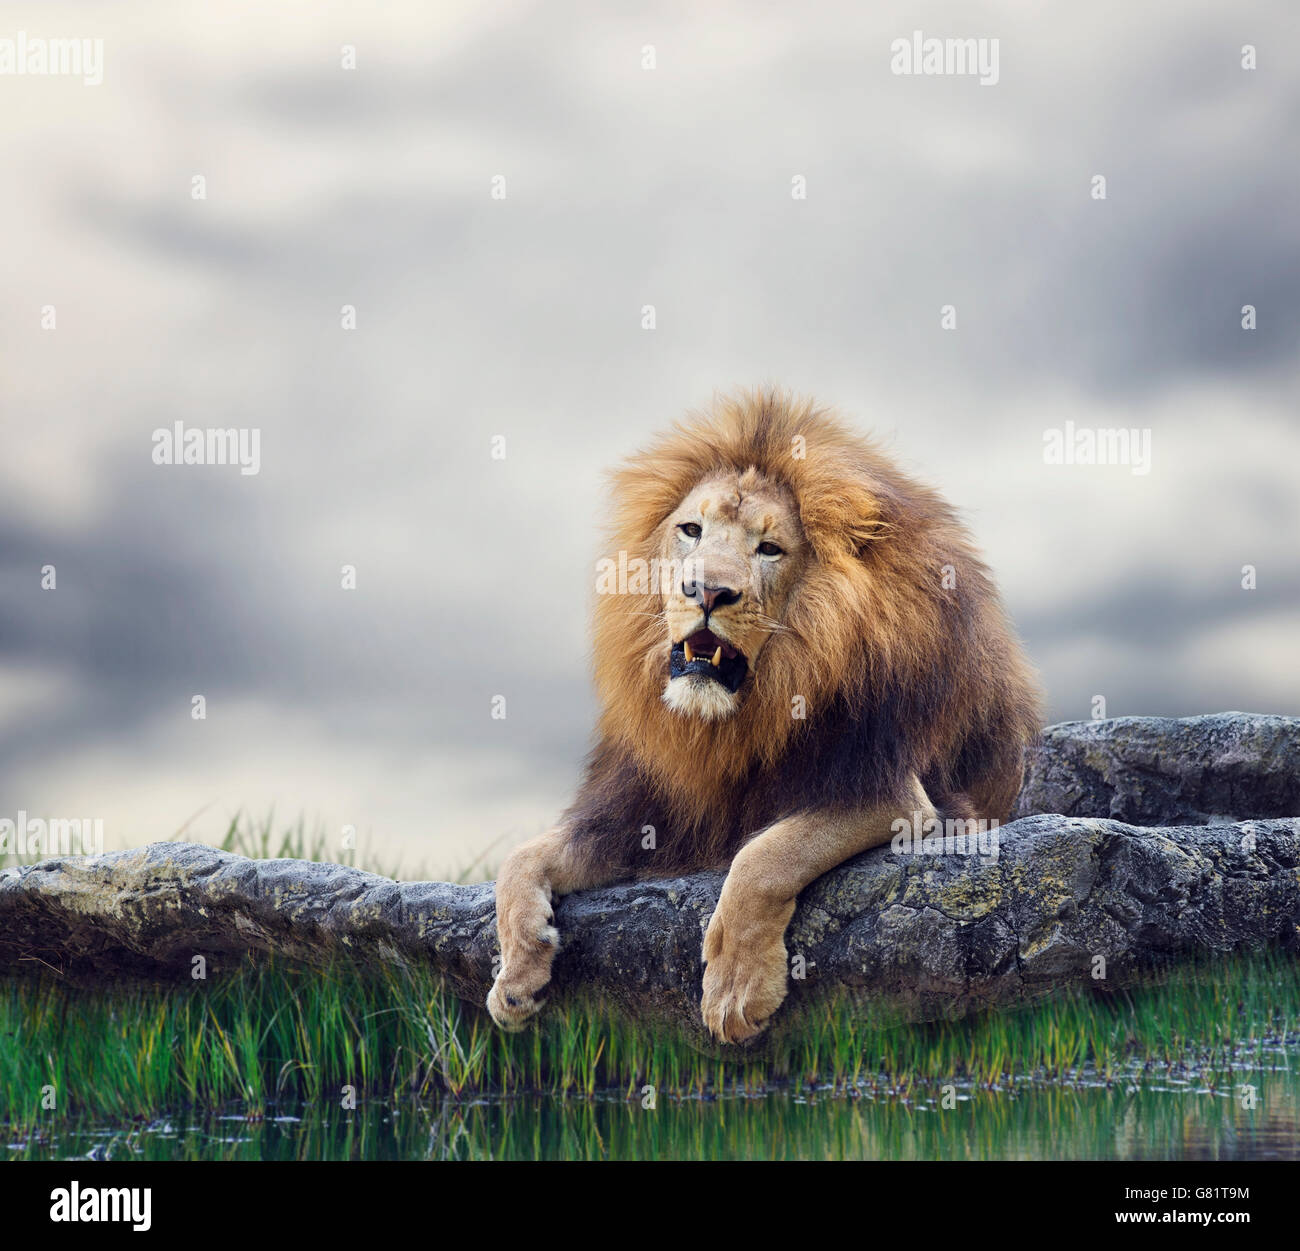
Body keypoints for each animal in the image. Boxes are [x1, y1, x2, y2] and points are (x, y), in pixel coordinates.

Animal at [488, 388, 1042, 1043]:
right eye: (691, 530)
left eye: (769, 548)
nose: (706, 591)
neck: (736, 720)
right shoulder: (643, 807)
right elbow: (519, 859)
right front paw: (516, 975)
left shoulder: (888, 793)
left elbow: (761, 858)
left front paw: (734, 990)